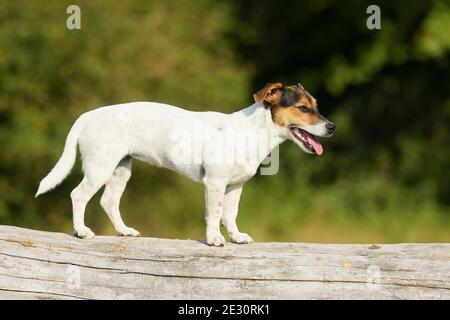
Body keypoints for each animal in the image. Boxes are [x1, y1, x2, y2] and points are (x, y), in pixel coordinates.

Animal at [36, 82, 334, 245]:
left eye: (316, 105)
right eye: (303, 108)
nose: (331, 127)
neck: (253, 131)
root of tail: (88, 116)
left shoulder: (235, 187)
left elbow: (230, 215)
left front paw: (236, 236)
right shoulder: (214, 183)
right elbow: (214, 214)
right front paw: (214, 239)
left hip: (120, 169)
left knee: (108, 201)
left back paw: (124, 231)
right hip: (99, 168)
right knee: (78, 195)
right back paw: (81, 231)